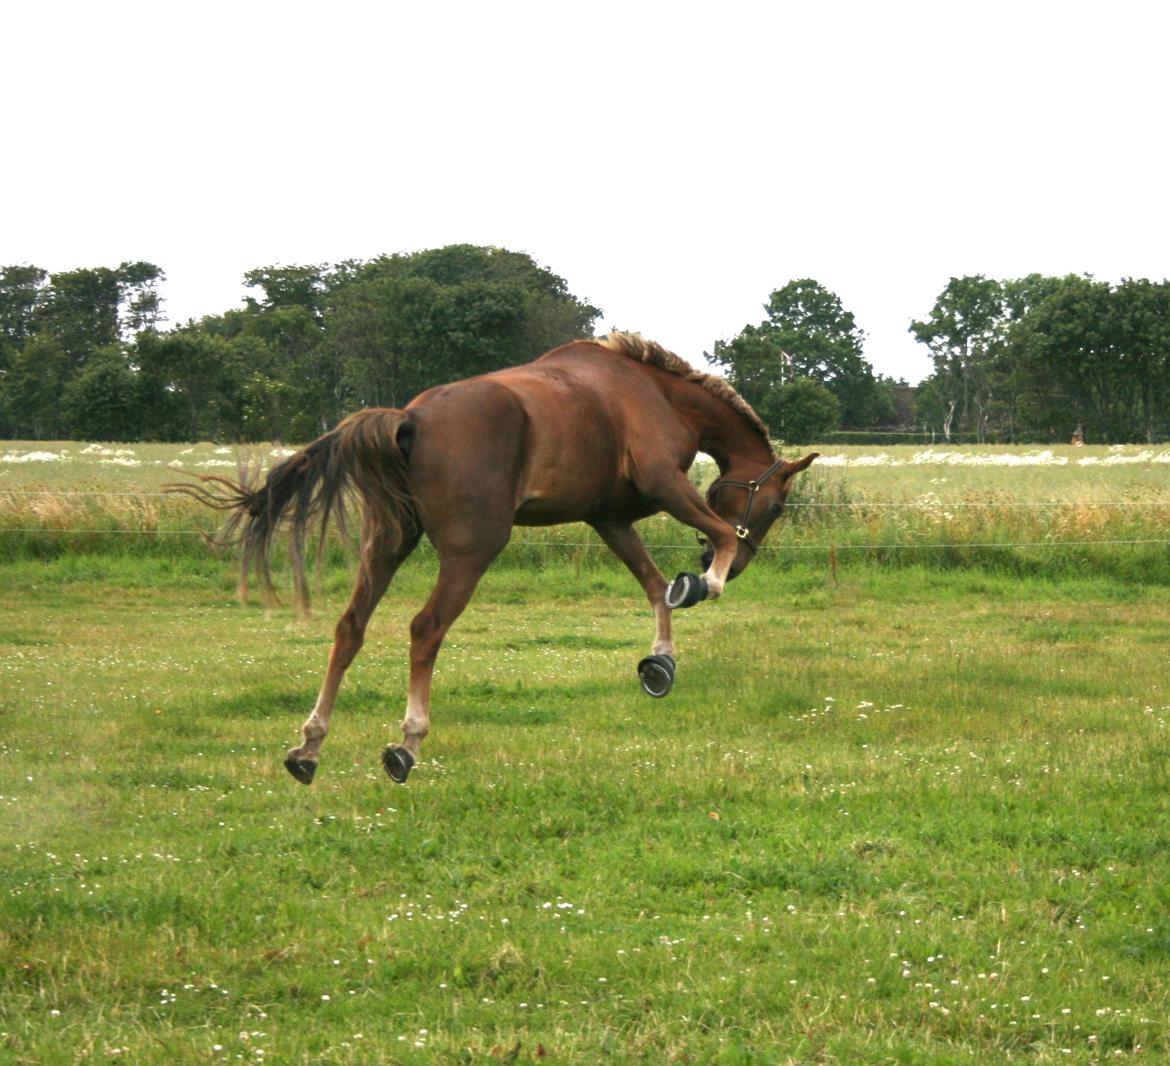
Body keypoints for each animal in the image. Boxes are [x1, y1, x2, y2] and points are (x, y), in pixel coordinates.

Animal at [180, 332, 814, 781]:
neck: (656, 393)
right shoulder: (664, 486)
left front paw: (660, 663)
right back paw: (406, 744)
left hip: (388, 545)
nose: (748, 564)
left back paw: (309, 748)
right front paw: (705, 581)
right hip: (472, 551)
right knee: (424, 629)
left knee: (349, 629)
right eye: (779, 506)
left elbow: (656, 586)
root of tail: (408, 419)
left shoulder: (609, 519)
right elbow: (712, 544)